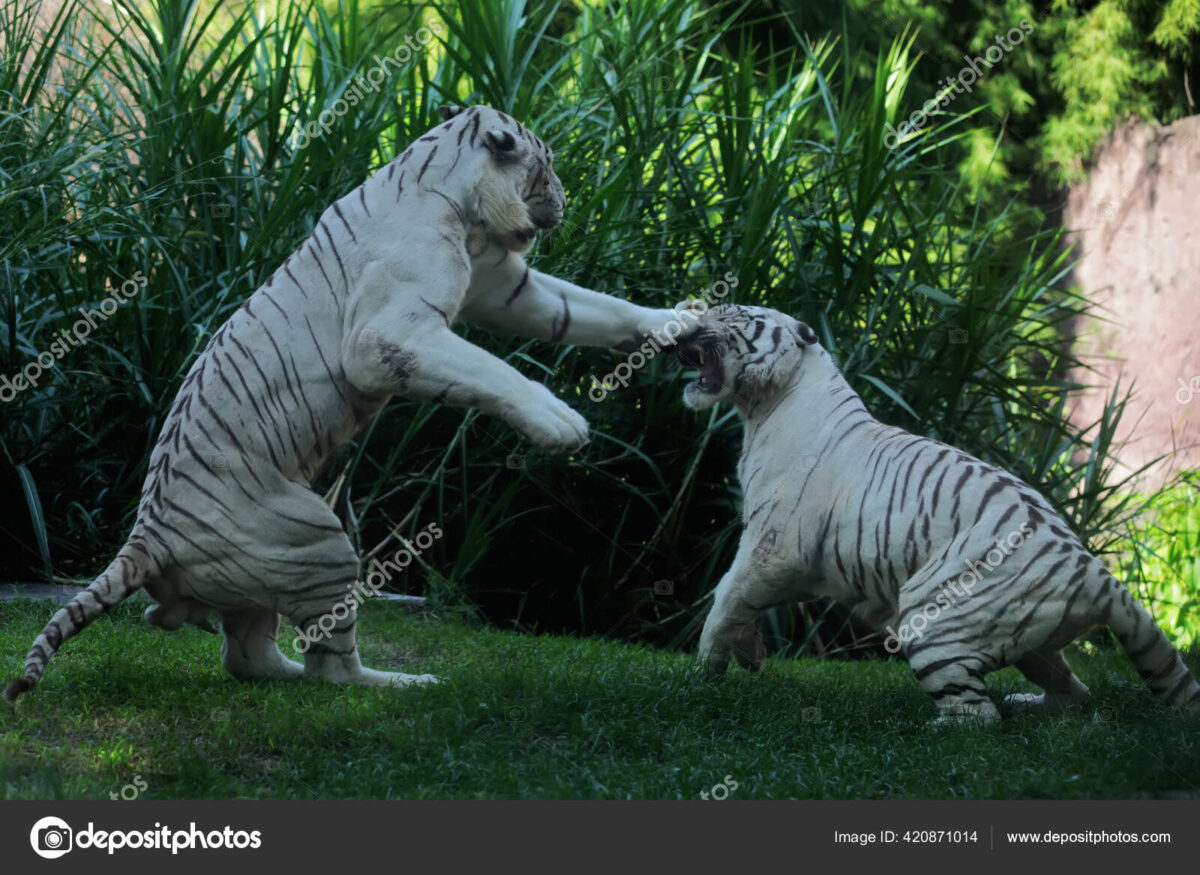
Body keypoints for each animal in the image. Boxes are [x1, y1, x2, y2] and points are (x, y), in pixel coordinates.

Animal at [5, 104, 698, 702]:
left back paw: (297, 672)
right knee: (330, 667)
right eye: (546, 164)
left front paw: (679, 322)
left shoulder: (505, 286)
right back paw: (402, 683)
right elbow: (492, 369)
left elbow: (590, 309)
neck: (460, 205)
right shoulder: (388, 336)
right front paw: (561, 423)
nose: (565, 200)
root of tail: (147, 534)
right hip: (319, 543)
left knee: (248, 657)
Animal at [676, 303, 1200, 723]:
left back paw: (926, 730)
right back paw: (1026, 704)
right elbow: (740, 604)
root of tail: (1096, 572)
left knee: (977, 718)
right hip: (1032, 639)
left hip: (934, 618)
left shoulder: (776, 547)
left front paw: (705, 672)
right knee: (1074, 693)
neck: (762, 406)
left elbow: (726, 596)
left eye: (729, 311)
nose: (684, 314)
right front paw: (749, 657)